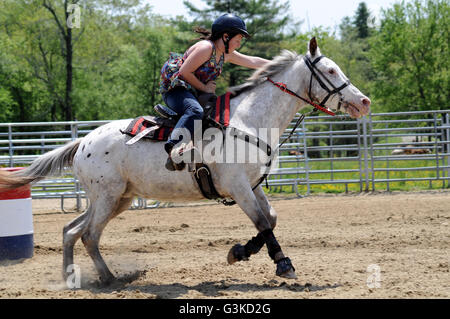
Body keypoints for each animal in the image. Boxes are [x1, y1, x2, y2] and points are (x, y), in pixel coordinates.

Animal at [0, 38, 370, 284]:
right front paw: (284, 264)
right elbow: (263, 223)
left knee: (71, 230)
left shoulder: (252, 186)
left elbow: (271, 219)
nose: (364, 101)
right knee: (89, 235)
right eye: (330, 69)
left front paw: (238, 252)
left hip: (118, 199)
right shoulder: (239, 187)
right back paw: (109, 279)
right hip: (106, 197)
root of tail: (83, 142)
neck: (250, 120)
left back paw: (71, 277)